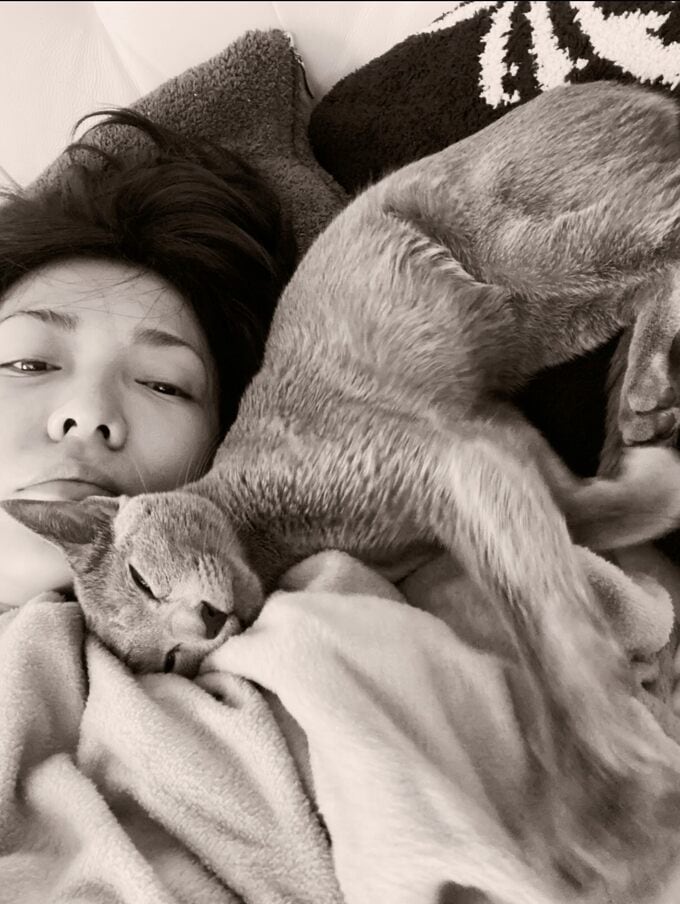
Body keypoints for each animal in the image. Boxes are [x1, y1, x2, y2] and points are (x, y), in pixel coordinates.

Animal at [7, 81, 680, 897]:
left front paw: (609, 816)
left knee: (663, 231)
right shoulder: (496, 443)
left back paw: (643, 382)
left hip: (518, 264)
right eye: (169, 664)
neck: (269, 527)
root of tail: (631, 94)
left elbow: (545, 622)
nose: (201, 626)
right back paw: (644, 396)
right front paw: (654, 478)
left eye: (141, 579)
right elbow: (587, 518)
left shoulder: (447, 465)